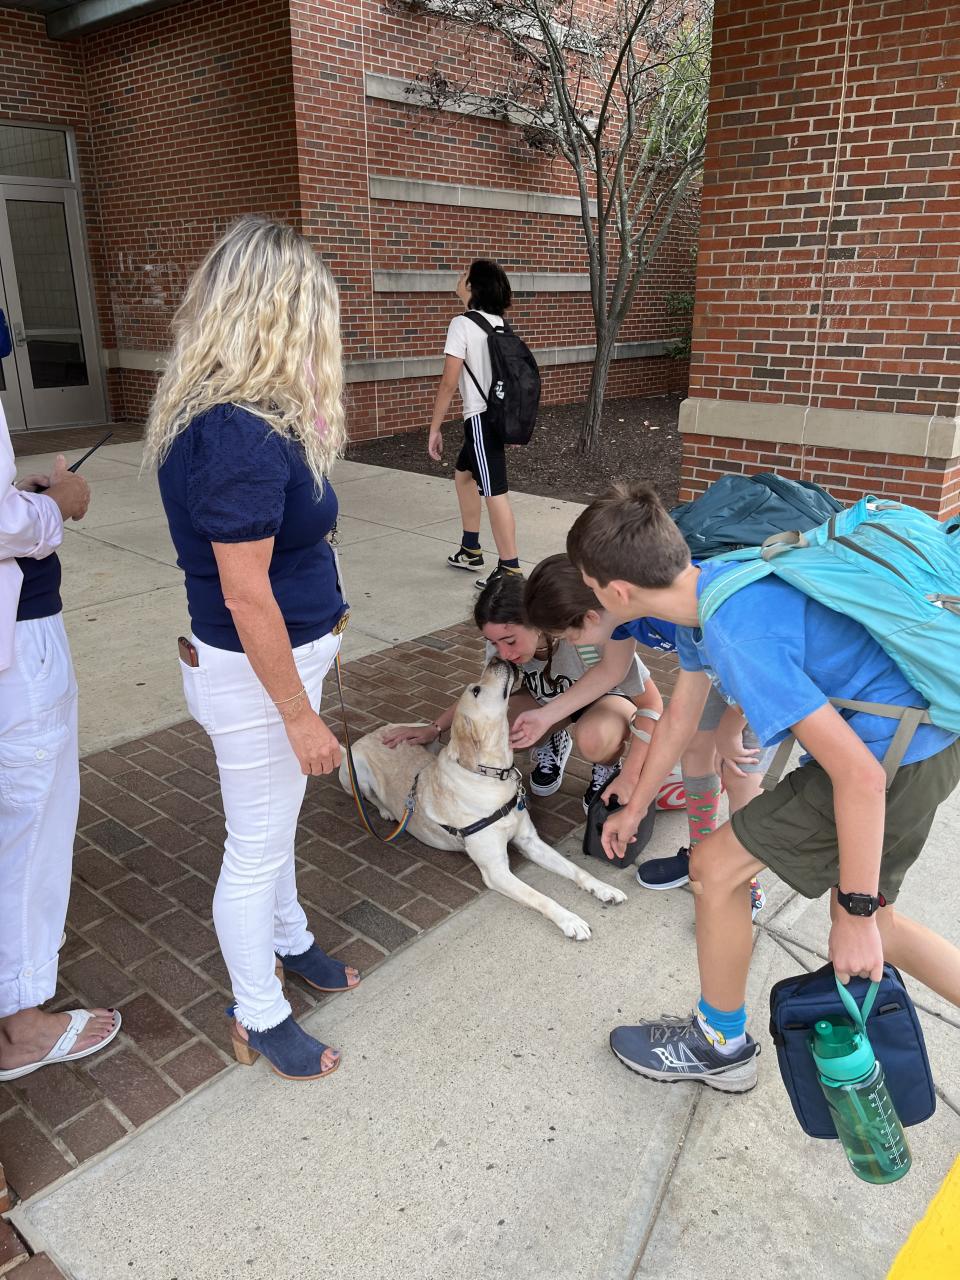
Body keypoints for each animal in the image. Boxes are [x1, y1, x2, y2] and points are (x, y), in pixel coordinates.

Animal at [340, 655, 632, 936]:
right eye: (477, 690)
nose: (496, 659)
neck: (493, 775)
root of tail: (370, 733)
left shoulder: (530, 841)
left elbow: (577, 870)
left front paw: (603, 888)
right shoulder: (496, 870)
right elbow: (540, 897)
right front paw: (570, 920)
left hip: (428, 739)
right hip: (354, 772)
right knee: (366, 797)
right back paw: (387, 811)